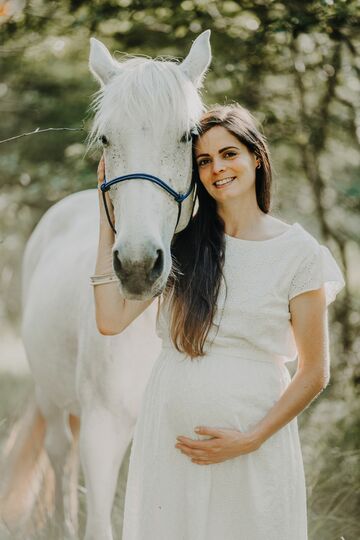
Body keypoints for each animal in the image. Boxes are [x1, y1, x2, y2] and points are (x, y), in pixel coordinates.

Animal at [0, 29, 212, 540]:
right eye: (105, 138)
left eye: (188, 136)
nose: (137, 265)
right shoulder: (101, 432)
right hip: (53, 401)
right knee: (60, 456)